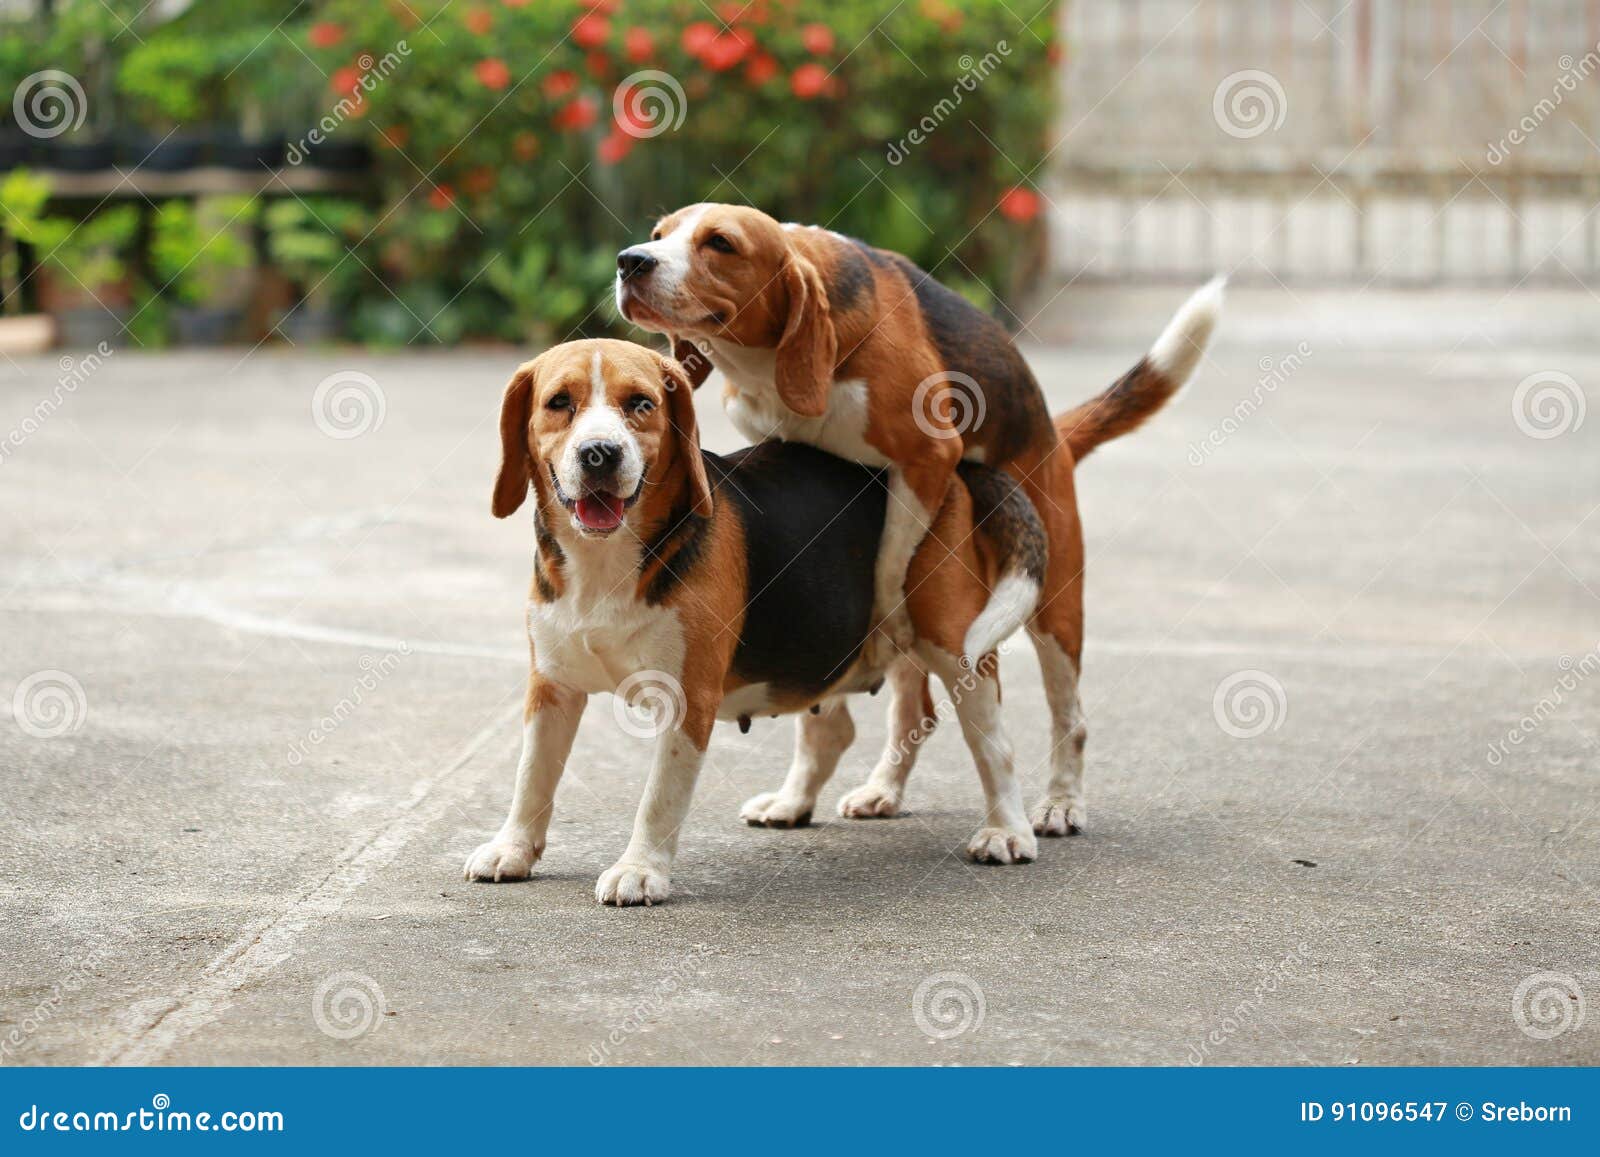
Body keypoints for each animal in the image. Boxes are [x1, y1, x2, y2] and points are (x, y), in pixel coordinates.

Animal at [467, 339, 1049, 908]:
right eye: (559, 403)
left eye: (641, 404)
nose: (600, 454)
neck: (604, 561)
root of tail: (957, 472)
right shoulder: (553, 689)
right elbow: (532, 777)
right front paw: (512, 849)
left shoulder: (687, 698)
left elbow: (659, 798)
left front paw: (640, 870)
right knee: (836, 729)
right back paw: (794, 802)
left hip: (955, 648)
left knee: (994, 746)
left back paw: (1007, 831)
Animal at [611, 204, 1222, 844]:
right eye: (658, 236)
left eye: (721, 244)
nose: (631, 262)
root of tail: (1053, 435)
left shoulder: (928, 460)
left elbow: (888, 563)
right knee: (911, 712)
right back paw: (860, 791)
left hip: (1054, 607)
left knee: (1067, 716)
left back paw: (1060, 802)